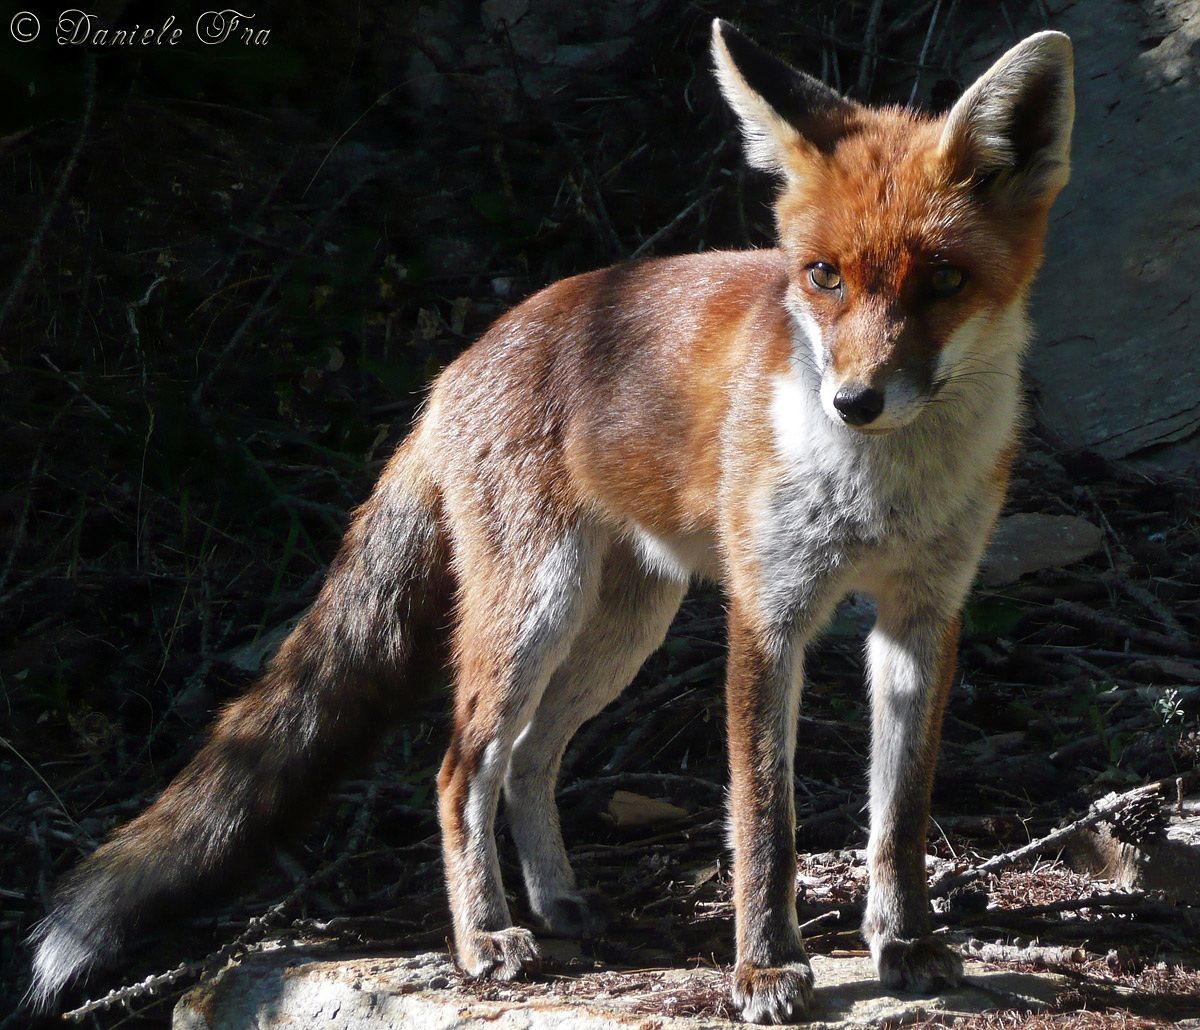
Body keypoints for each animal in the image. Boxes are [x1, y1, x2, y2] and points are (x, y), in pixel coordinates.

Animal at [28, 19, 1074, 1024]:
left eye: (943, 282)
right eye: (822, 277)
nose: (855, 402)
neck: (883, 484)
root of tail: (460, 365)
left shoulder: (923, 616)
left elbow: (900, 815)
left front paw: (905, 944)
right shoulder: (768, 614)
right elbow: (763, 823)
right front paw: (766, 967)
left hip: (623, 627)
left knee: (531, 758)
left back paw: (558, 904)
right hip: (536, 611)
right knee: (461, 770)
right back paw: (485, 937)